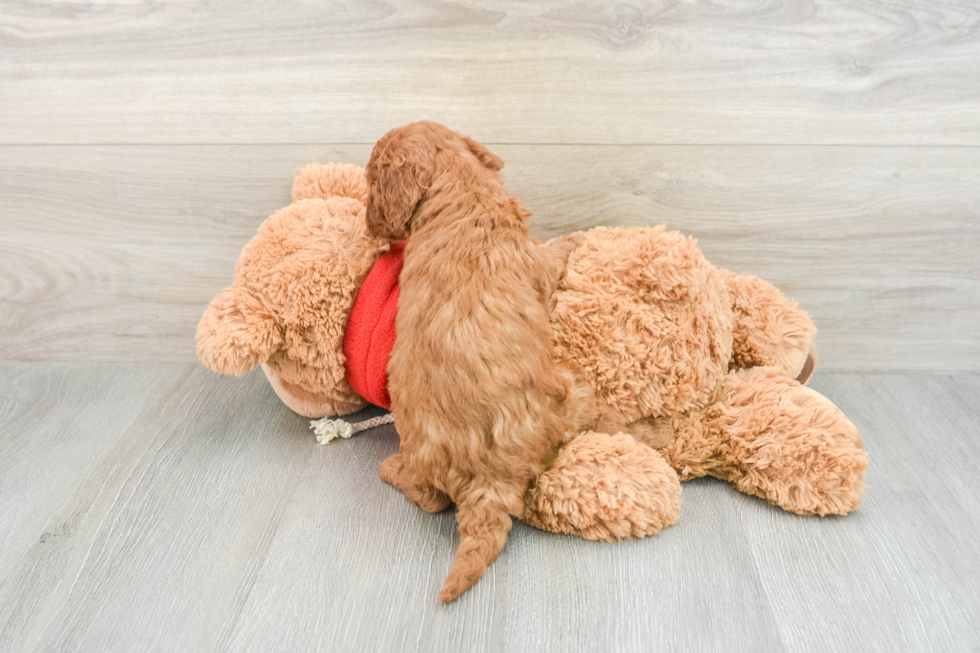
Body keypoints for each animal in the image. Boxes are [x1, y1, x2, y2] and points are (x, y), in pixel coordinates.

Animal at [368, 121, 612, 600]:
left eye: (369, 185)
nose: (367, 225)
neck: (456, 182)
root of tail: (487, 486)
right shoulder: (537, 261)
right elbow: (556, 252)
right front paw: (578, 236)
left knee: (429, 497)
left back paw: (393, 468)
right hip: (571, 391)